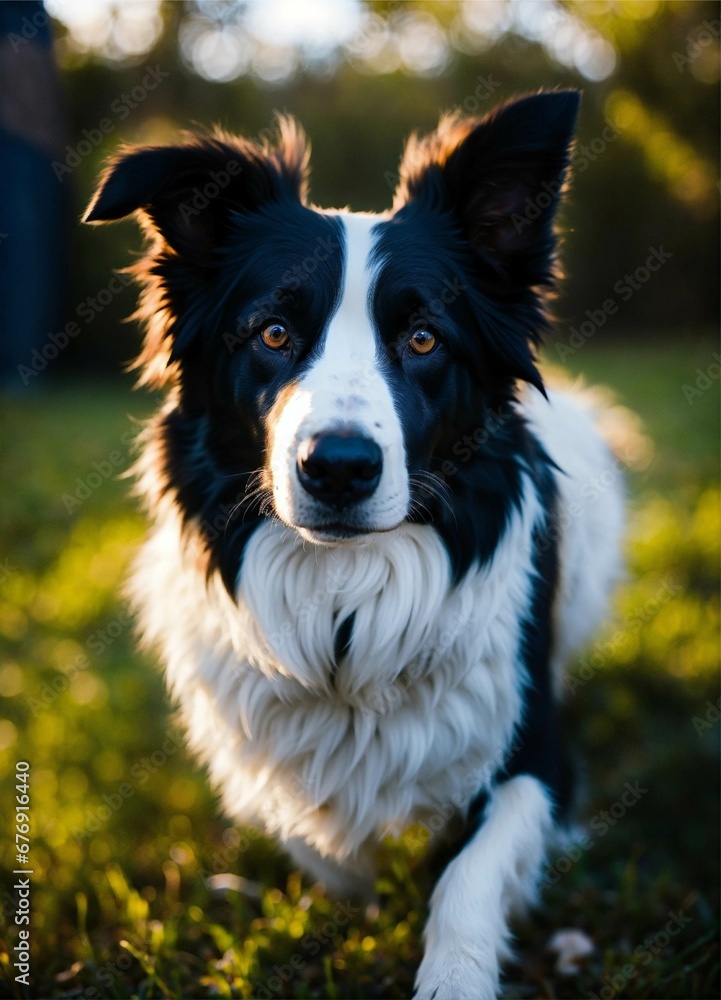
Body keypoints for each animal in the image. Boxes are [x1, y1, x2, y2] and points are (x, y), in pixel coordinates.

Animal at [86, 94, 624, 1000]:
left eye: (423, 339)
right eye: (271, 333)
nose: (337, 467)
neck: (344, 595)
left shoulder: (526, 740)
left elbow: (473, 869)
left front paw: (453, 973)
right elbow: (315, 829)